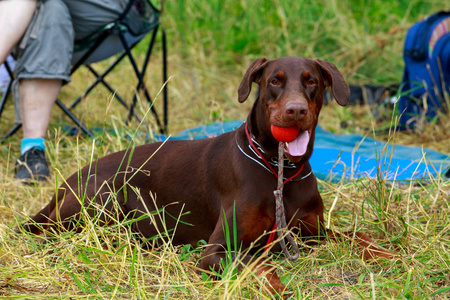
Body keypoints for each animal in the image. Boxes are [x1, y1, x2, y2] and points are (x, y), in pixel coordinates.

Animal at [22, 56, 392, 296]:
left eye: (311, 81)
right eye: (274, 80)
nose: (296, 110)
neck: (278, 169)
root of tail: (64, 183)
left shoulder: (311, 233)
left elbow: (356, 236)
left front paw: (385, 253)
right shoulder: (218, 250)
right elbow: (256, 263)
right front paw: (274, 285)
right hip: (102, 197)